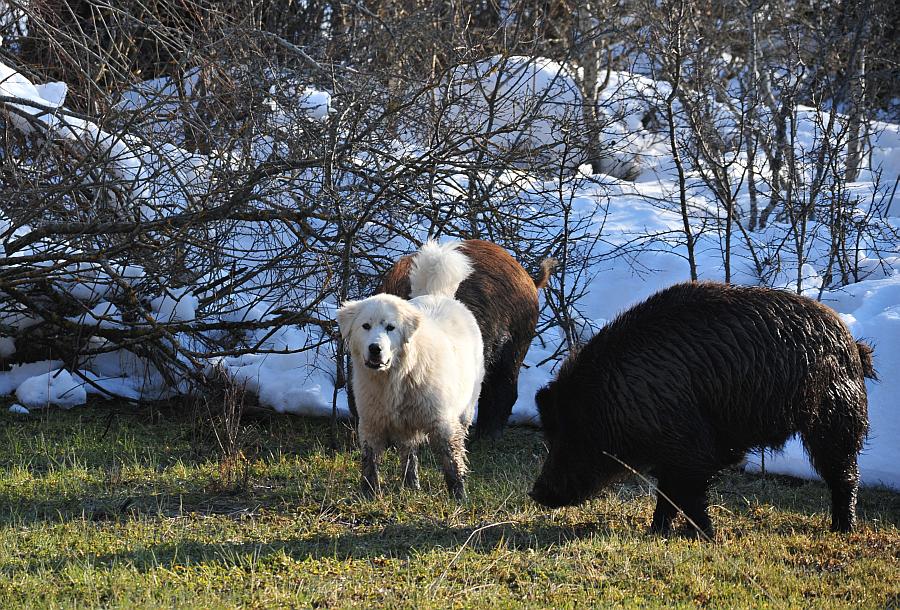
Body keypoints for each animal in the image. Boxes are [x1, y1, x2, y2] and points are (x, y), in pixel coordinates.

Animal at [338, 240, 486, 496]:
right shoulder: (371, 422)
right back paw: (411, 484)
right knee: (409, 452)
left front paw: (459, 495)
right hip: (406, 424)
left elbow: (451, 460)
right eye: (365, 326)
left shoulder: (443, 422)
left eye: (390, 327)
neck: (395, 377)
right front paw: (369, 493)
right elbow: (369, 461)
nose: (375, 349)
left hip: (465, 409)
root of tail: (437, 294)